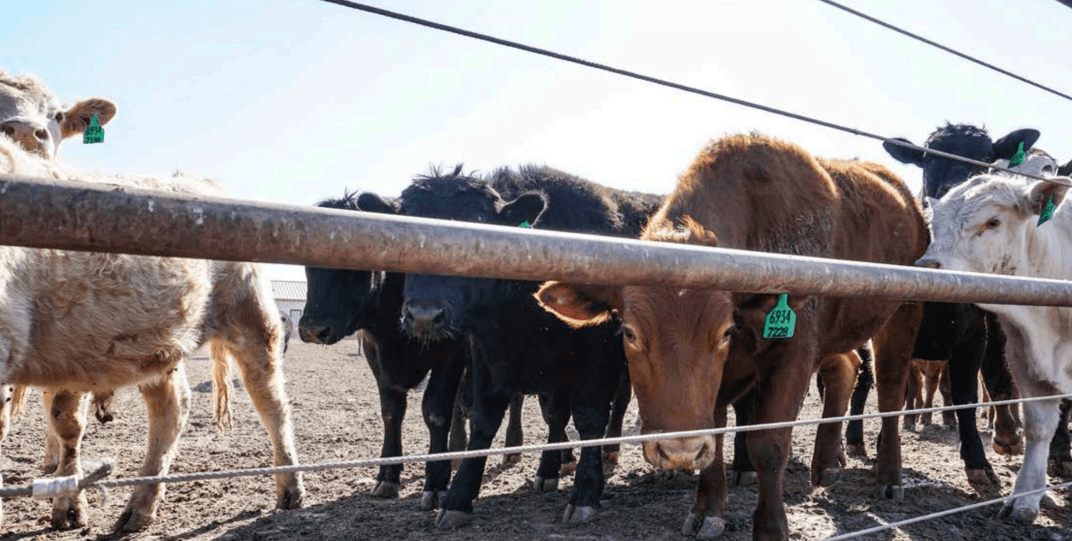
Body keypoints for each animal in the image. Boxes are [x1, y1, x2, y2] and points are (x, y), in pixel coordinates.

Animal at [0, 132, 306, 529]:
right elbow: (64, 422)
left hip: (251, 316)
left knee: (271, 401)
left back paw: (290, 488)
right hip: (153, 347)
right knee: (172, 407)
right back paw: (139, 507)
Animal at [298, 191, 527, 507]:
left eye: (357, 263)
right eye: (307, 265)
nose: (312, 328)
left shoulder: (449, 352)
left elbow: (436, 411)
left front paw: (436, 482)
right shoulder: (374, 353)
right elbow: (391, 412)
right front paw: (387, 476)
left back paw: (511, 448)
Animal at [379, 164, 660, 527]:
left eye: (481, 234)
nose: (424, 315)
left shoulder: (597, 358)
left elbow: (589, 420)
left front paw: (585, 494)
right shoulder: (487, 355)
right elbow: (486, 423)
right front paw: (458, 498)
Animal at [540, 131, 926, 539]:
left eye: (725, 332)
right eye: (629, 332)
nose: (679, 451)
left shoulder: (792, 357)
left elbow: (768, 445)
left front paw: (771, 527)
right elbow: (716, 435)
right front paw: (708, 510)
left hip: (903, 314)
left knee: (890, 391)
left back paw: (889, 477)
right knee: (846, 367)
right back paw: (827, 464)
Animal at [913, 169, 1072, 522]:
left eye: (993, 222)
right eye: (933, 224)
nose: (926, 267)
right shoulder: (1026, 358)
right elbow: (1039, 426)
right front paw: (1025, 497)